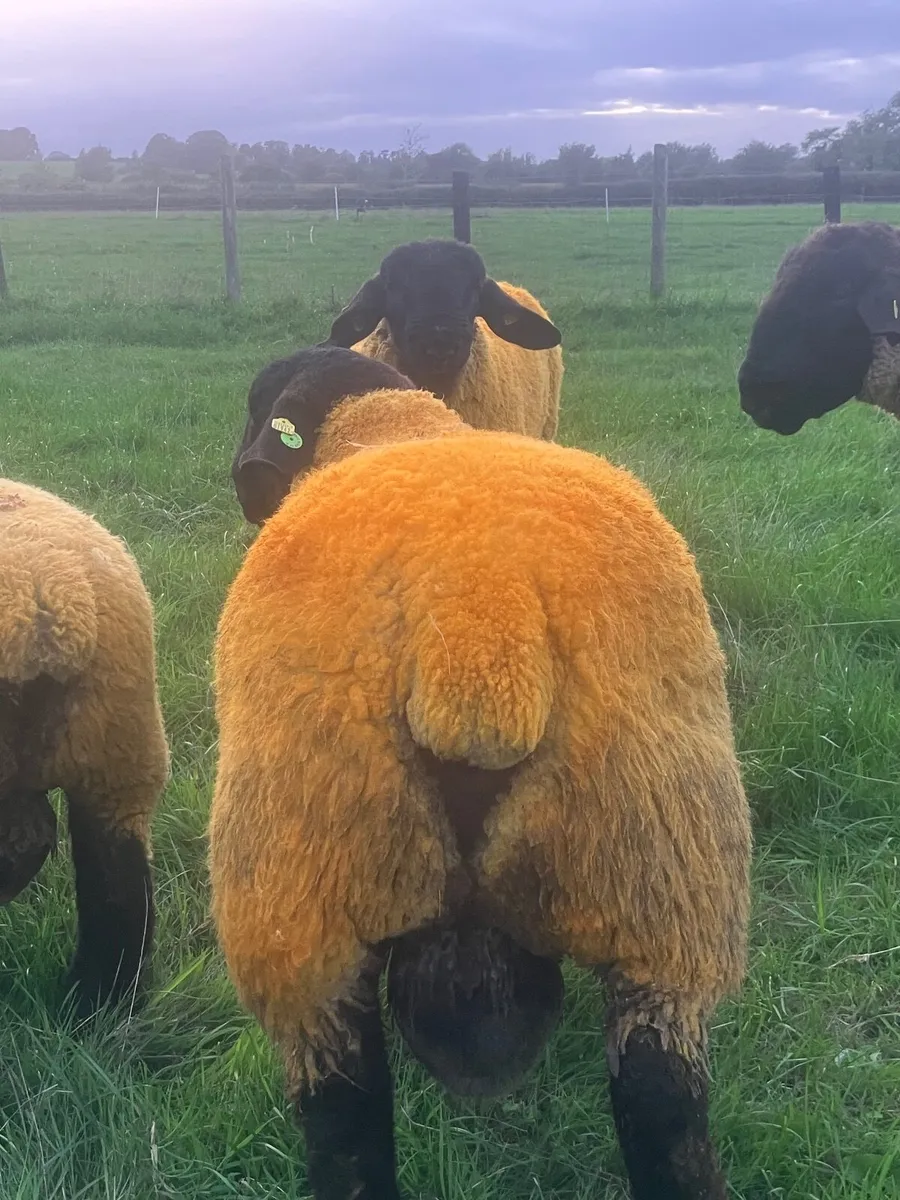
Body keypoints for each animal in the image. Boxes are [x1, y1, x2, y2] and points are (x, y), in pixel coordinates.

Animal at [211, 346, 752, 1200]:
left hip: (300, 897)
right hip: (665, 877)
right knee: (664, 1106)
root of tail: (479, 619)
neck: (397, 427)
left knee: (344, 1123)